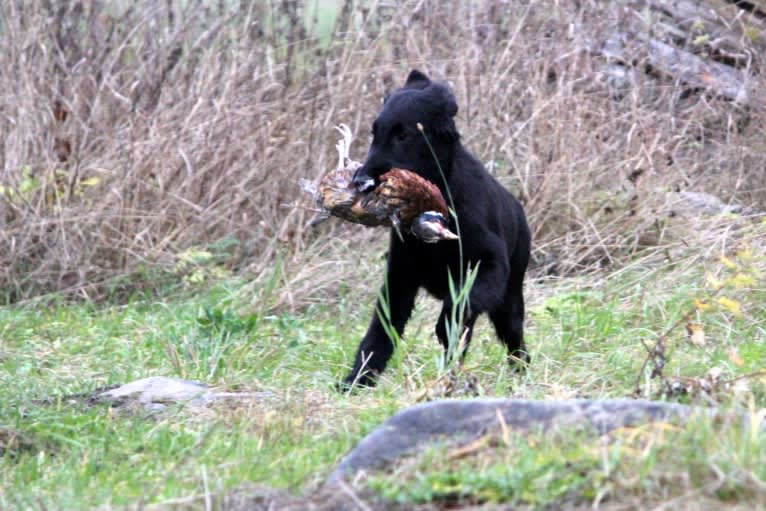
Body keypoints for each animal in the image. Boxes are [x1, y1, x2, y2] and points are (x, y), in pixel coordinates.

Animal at [344, 69, 532, 388]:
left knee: (515, 343)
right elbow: (379, 332)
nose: (360, 182)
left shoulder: (489, 266)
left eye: (404, 136)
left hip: (509, 300)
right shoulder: (399, 278)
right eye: (374, 134)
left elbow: (458, 306)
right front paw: (356, 380)